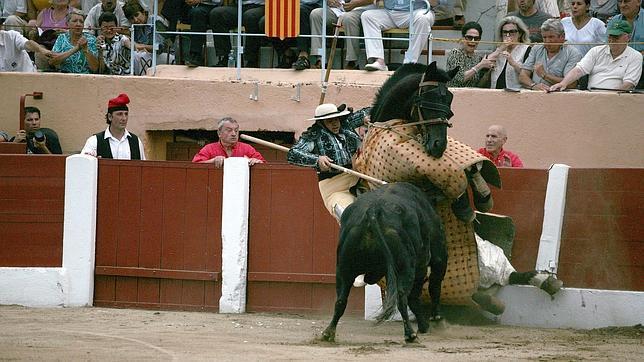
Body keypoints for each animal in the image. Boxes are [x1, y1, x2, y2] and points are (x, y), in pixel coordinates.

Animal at [322, 182, 448, 344]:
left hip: (344, 267)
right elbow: (432, 288)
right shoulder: (437, 259)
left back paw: (328, 333)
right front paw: (435, 320)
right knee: (402, 297)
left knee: (340, 301)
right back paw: (410, 335)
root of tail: (373, 211)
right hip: (405, 268)